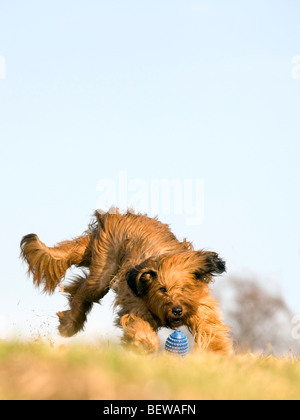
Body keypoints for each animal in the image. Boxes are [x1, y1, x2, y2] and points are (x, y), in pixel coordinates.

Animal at [20, 210, 232, 354]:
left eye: (184, 288)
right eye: (162, 289)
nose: (177, 310)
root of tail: (117, 217)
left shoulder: (201, 308)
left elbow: (210, 330)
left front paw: (216, 355)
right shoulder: (136, 306)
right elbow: (140, 329)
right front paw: (143, 346)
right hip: (102, 273)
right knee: (82, 293)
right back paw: (69, 324)